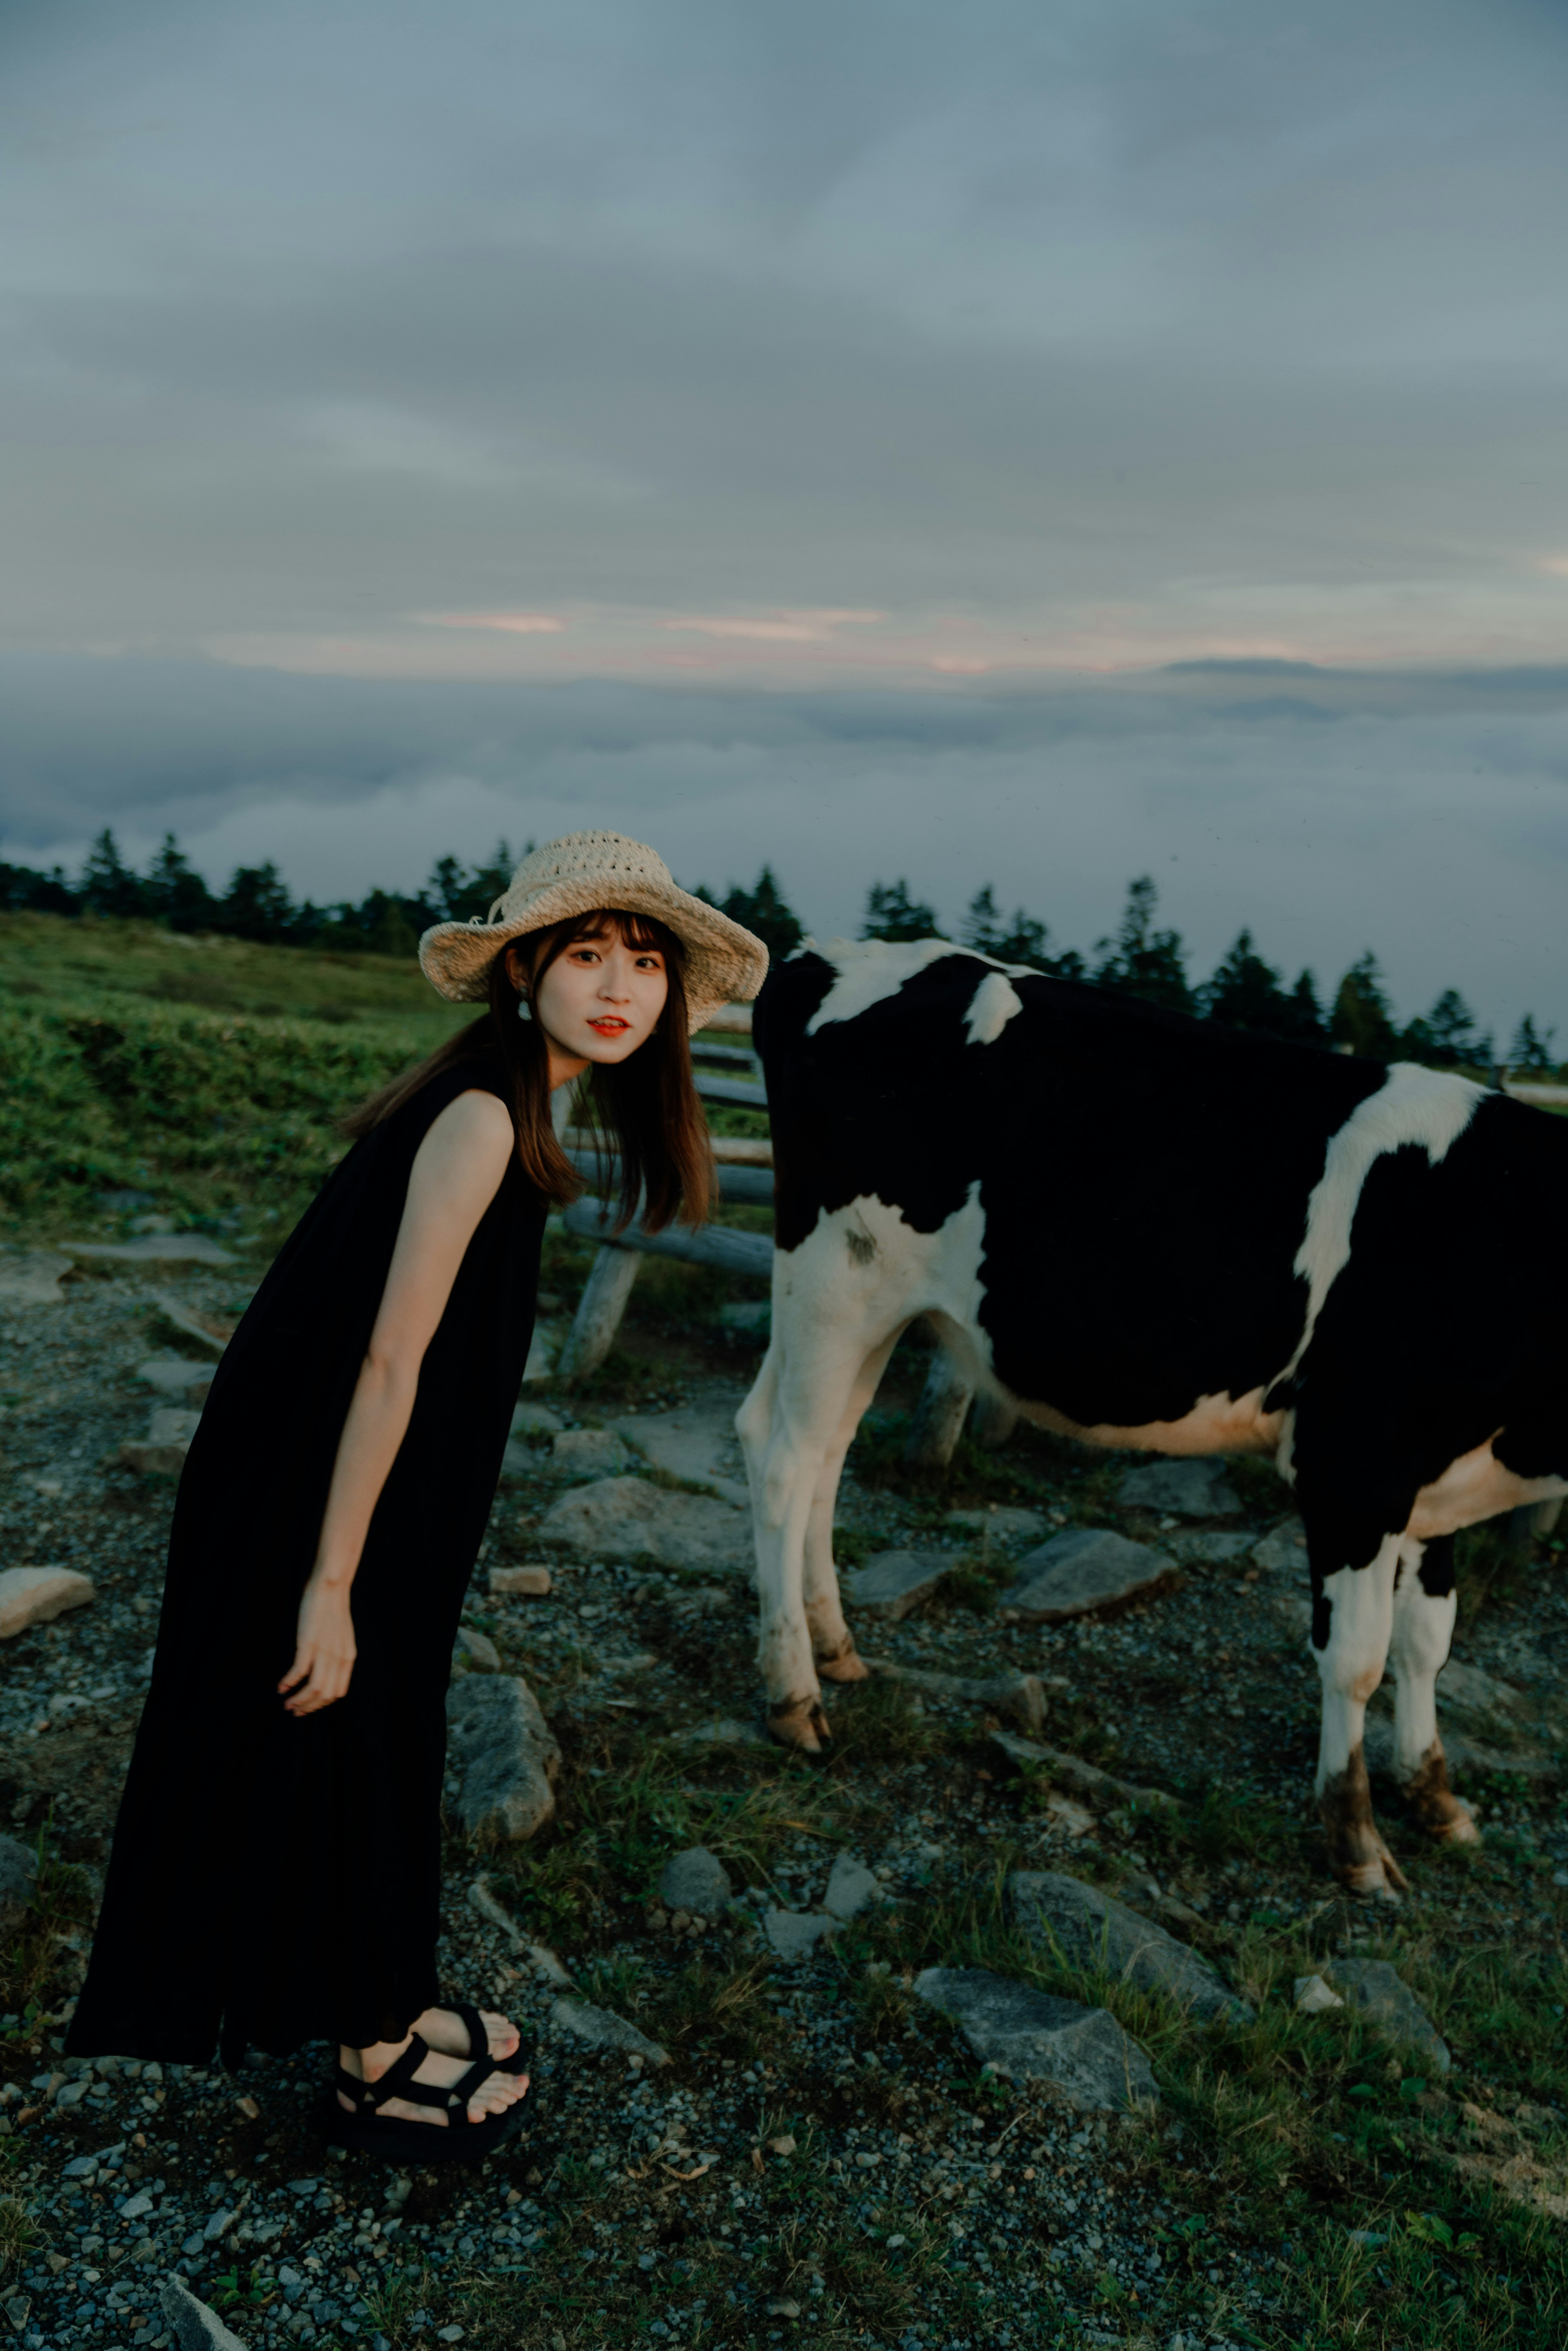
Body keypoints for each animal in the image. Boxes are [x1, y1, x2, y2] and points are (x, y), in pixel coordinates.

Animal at [738, 931, 1568, 1890]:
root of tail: (827, 955)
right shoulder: (1353, 1464)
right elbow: (1358, 1656)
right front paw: (1356, 1836)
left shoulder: (1437, 1479)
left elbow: (1428, 1639)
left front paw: (1434, 1794)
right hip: (834, 1279)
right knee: (784, 1463)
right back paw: (793, 1692)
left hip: (873, 1307)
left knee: (821, 1452)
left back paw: (835, 1645)